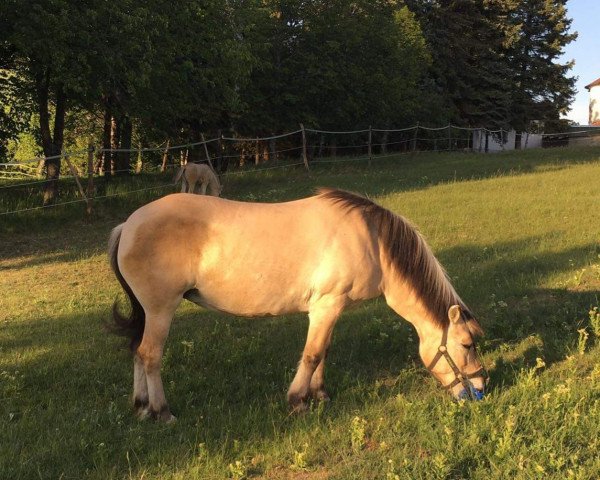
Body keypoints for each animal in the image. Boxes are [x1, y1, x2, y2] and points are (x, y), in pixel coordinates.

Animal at [109, 189, 488, 422]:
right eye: (467, 345)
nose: (481, 391)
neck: (373, 241)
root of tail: (127, 224)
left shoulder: (331, 310)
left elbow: (324, 351)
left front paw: (319, 395)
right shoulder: (326, 306)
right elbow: (312, 354)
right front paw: (298, 401)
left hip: (148, 313)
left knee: (137, 352)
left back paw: (142, 407)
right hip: (160, 311)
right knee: (150, 355)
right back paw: (162, 412)